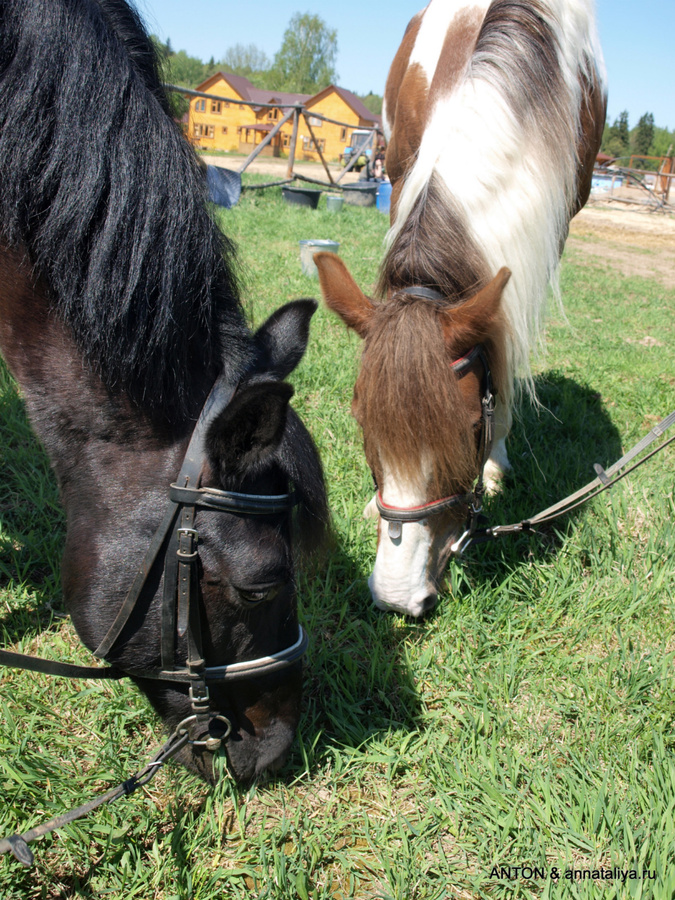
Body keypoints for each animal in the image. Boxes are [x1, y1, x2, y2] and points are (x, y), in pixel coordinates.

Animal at [316, 0, 608, 616]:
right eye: (361, 420)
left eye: (473, 426)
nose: (398, 596)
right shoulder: (401, 170)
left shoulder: (550, 229)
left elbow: (508, 344)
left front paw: (497, 462)